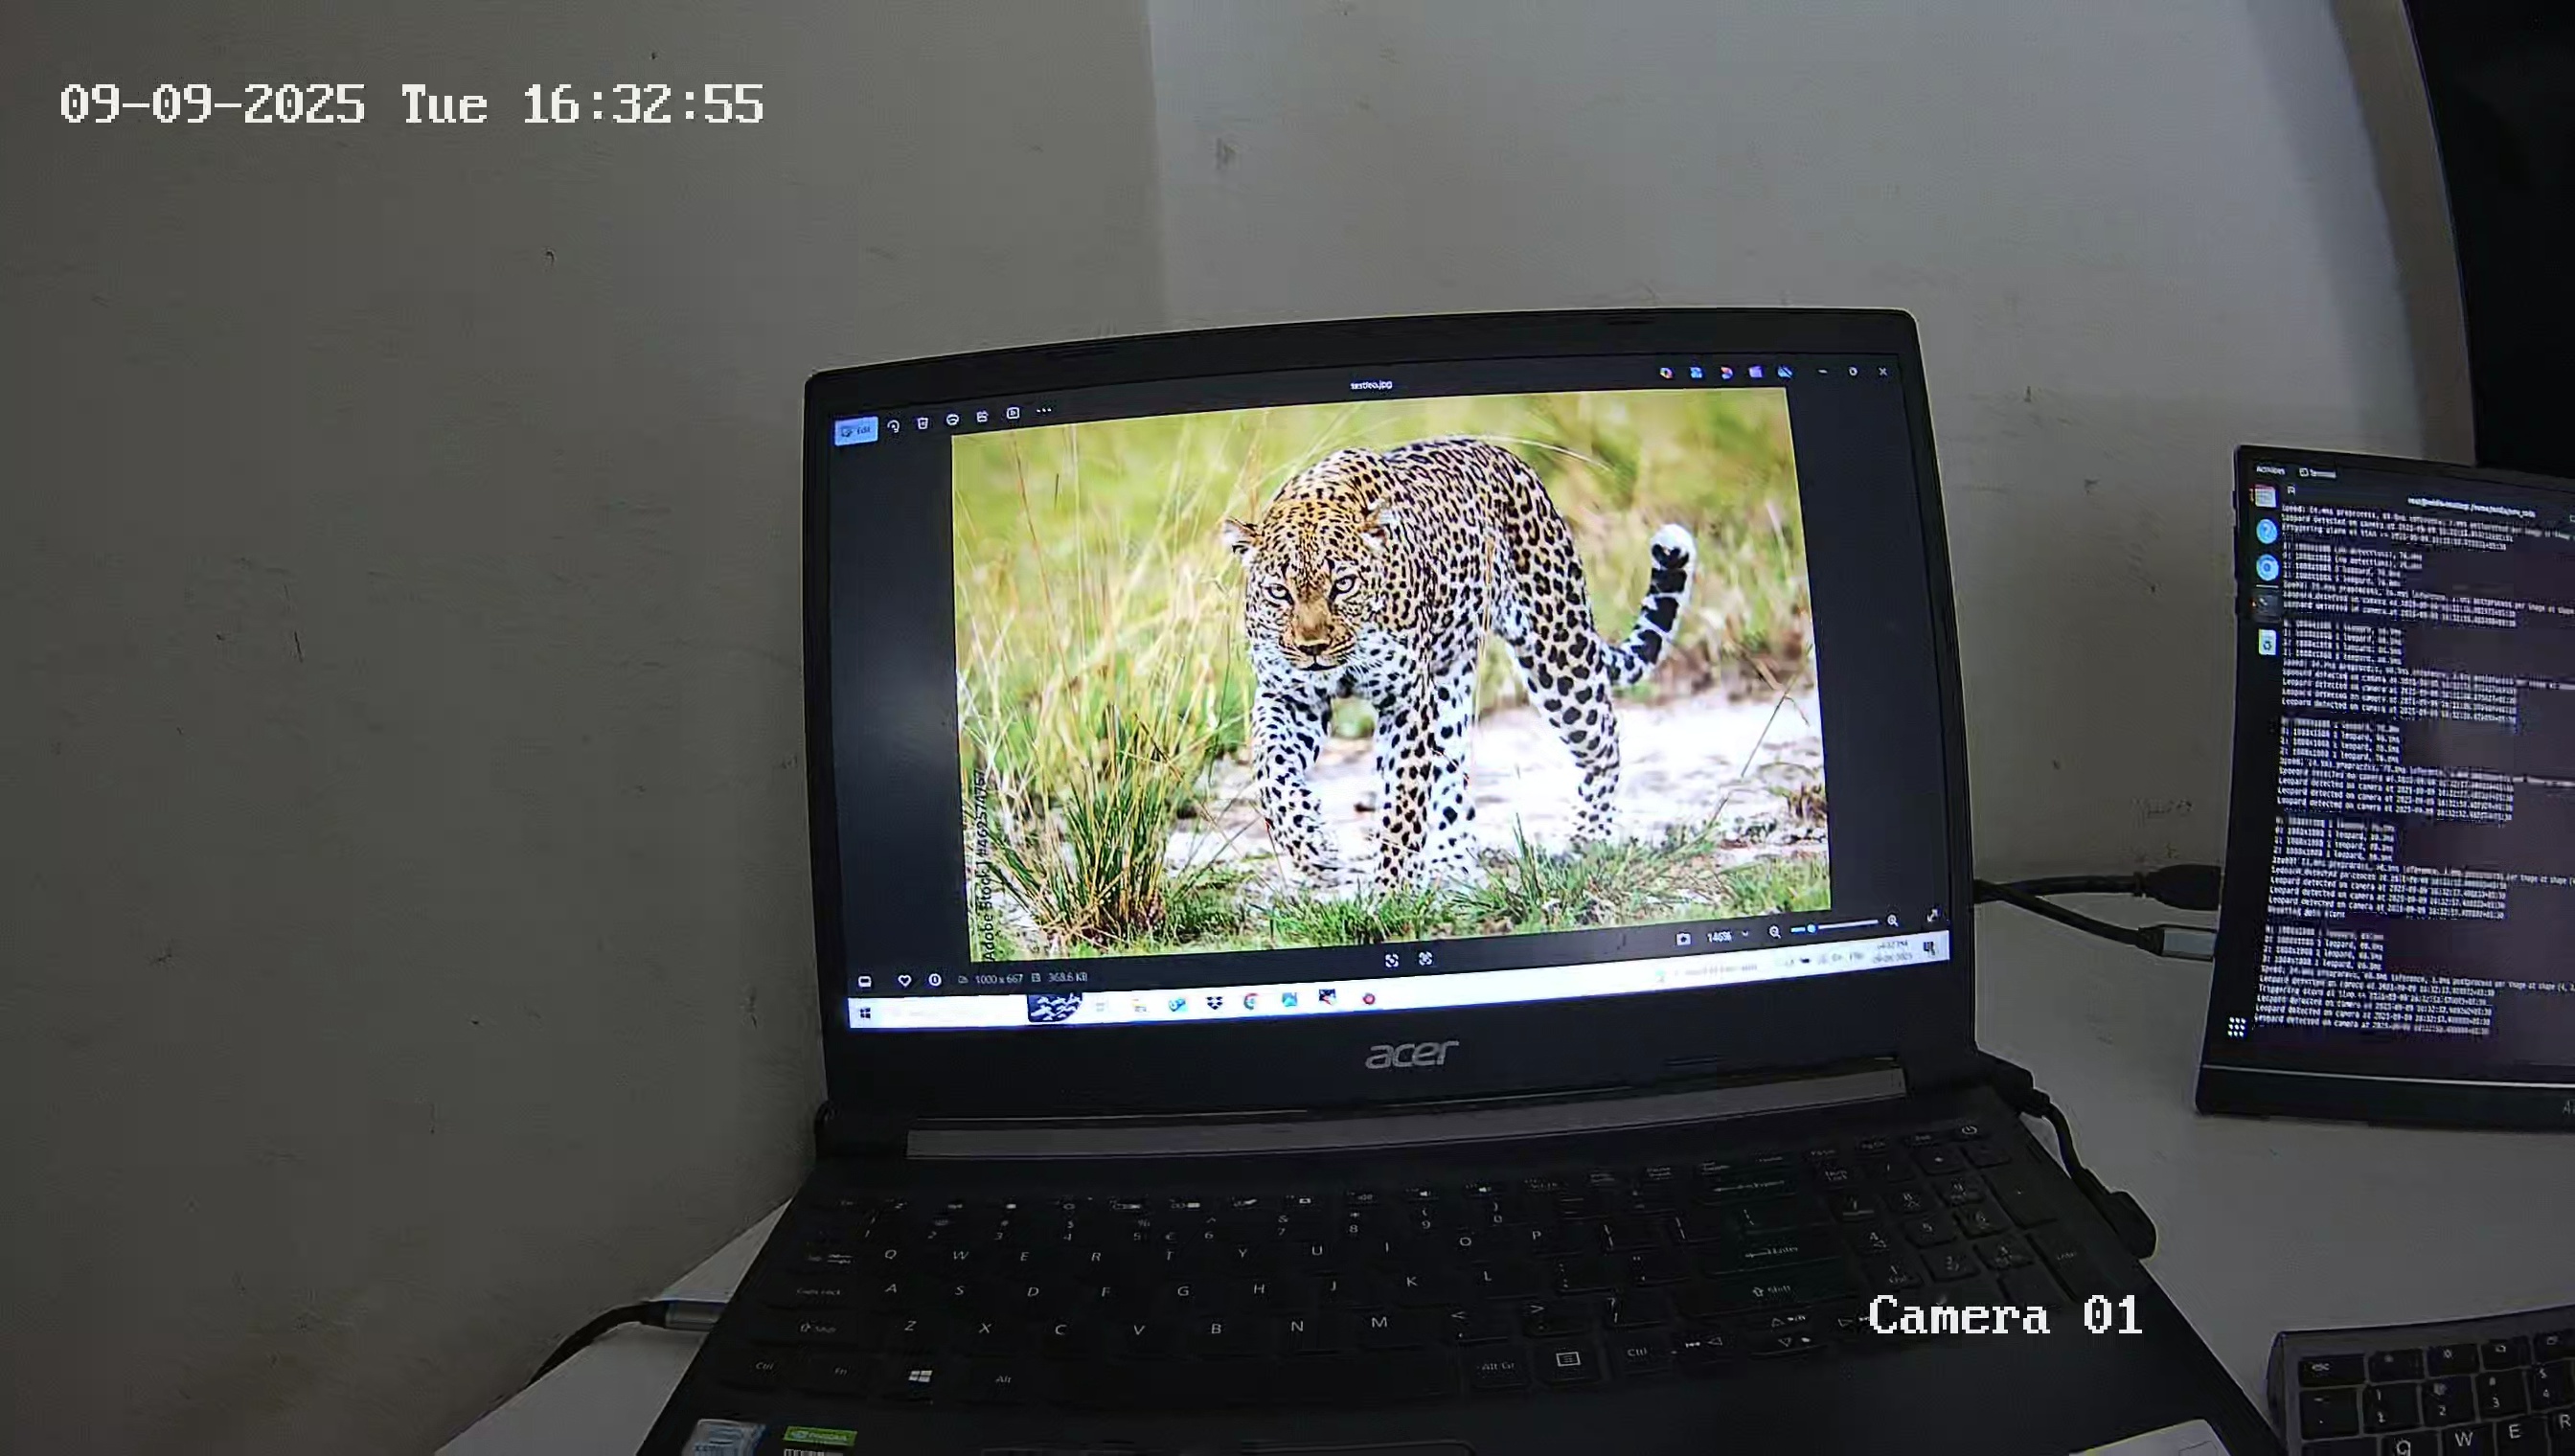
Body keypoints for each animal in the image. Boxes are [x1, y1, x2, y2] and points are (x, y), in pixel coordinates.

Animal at [1220, 437, 1697, 889]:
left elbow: (1403, 804)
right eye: (1279, 592)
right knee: (1452, 776)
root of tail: (1507, 457)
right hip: (1451, 682)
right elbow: (1270, 772)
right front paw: (1313, 851)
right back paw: (1453, 863)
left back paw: (1588, 838)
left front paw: (1392, 891)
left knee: (1603, 741)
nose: (1313, 647)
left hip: (1558, 651)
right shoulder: (1290, 697)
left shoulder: (1405, 701)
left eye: (1344, 584)